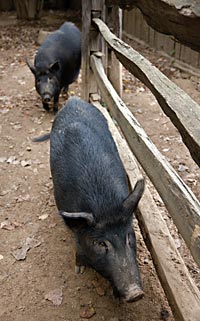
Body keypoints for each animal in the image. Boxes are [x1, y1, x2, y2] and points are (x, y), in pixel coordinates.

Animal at [33, 96, 145, 302]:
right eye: (101, 243)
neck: (103, 205)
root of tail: (73, 100)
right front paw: (78, 269)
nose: (136, 294)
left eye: (129, 236)